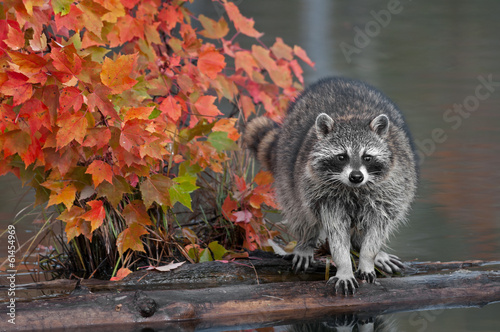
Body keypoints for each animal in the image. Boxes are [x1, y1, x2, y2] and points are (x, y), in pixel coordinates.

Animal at [244, 76, 416, 294]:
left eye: (367, 157)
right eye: (342, 157)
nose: (356, 176)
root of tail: (338, 80)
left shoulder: (389, 189)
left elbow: (378, 225)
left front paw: (369, 257)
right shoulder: (325, 196)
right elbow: (335, 231)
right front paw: (344, 267)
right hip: (288, 170)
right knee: (298, 209)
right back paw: (306, 241)